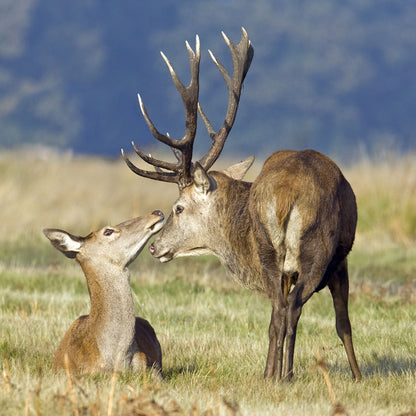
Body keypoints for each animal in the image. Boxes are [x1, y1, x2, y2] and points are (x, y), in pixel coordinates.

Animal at [121, 28, 360, 380]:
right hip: (315, 248)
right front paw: (357, 375)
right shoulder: (338, 261)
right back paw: (284, 376)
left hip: (279, 252)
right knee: (290, 310)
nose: (154, 247)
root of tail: (286, 194)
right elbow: (342, 323)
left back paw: (273, 375)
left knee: (280, 312)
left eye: (178, 207)